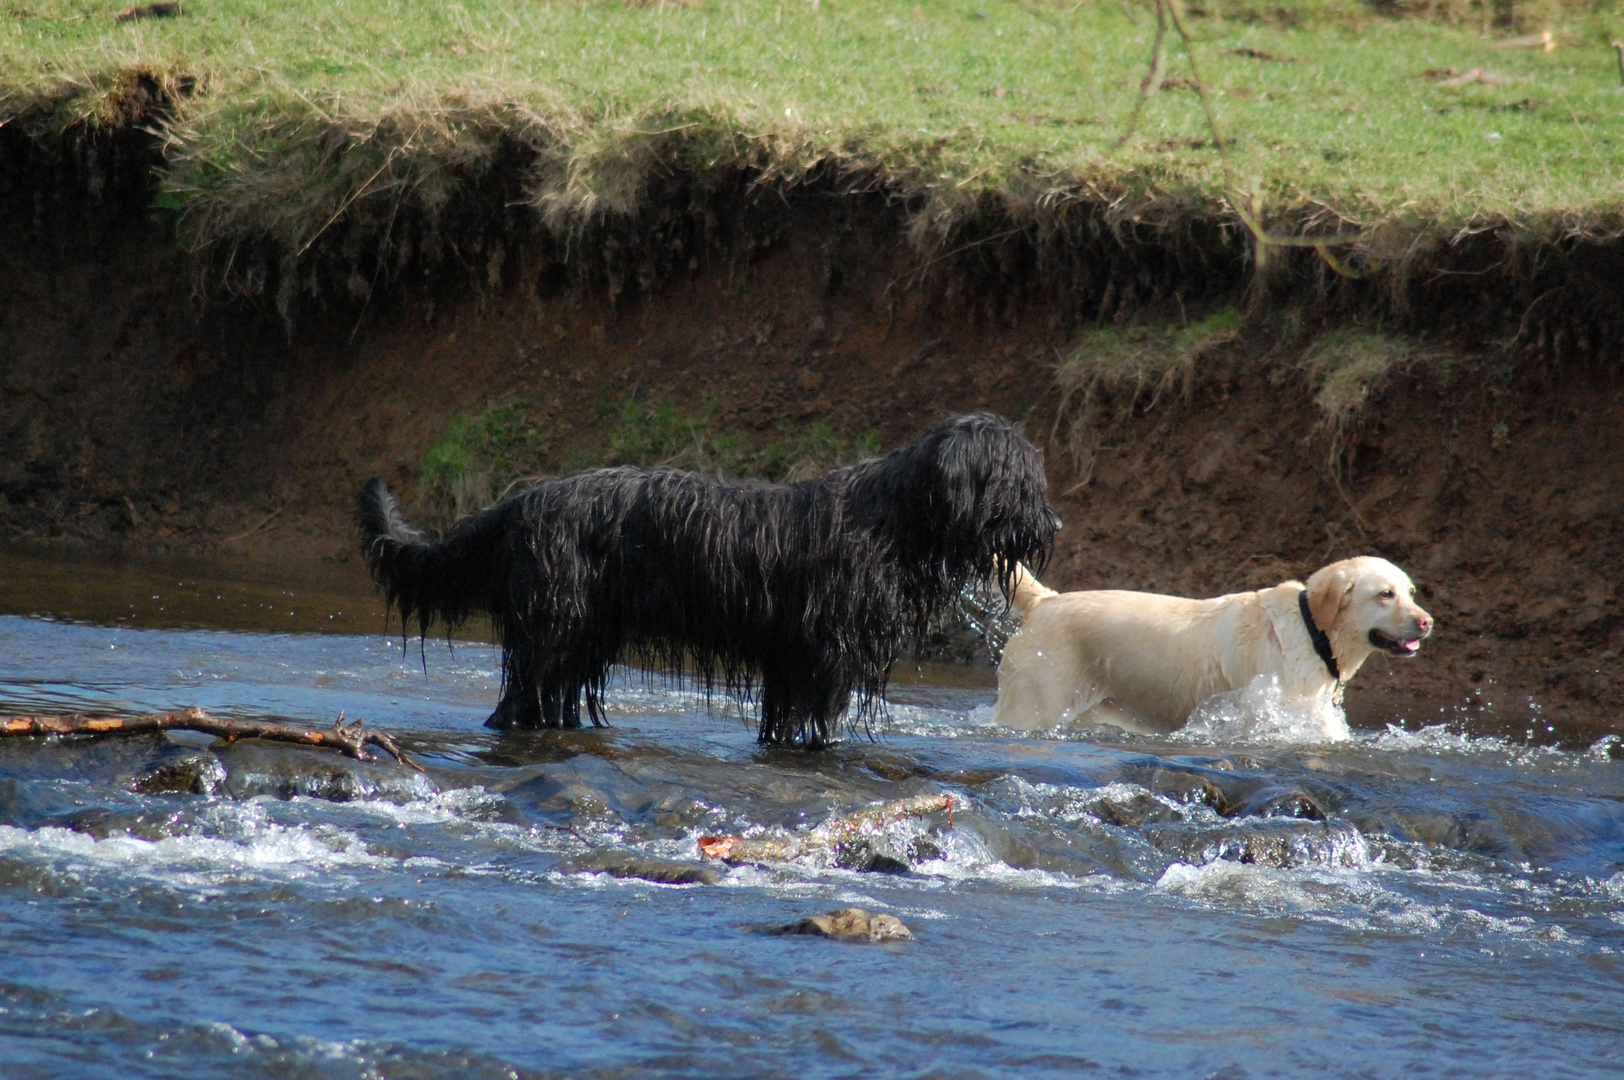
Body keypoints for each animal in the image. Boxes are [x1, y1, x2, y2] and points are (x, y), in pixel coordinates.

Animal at [360, 414, 1058, 750]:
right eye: (1020, 481)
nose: (1055, 523)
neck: (894, 520)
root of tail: (519, 502)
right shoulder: (826, 659)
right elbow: (824, 722)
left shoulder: (791, 663)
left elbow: (784, 724)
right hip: (551, 630)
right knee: (515, 702)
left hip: (580, 638)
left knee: (550, 701)